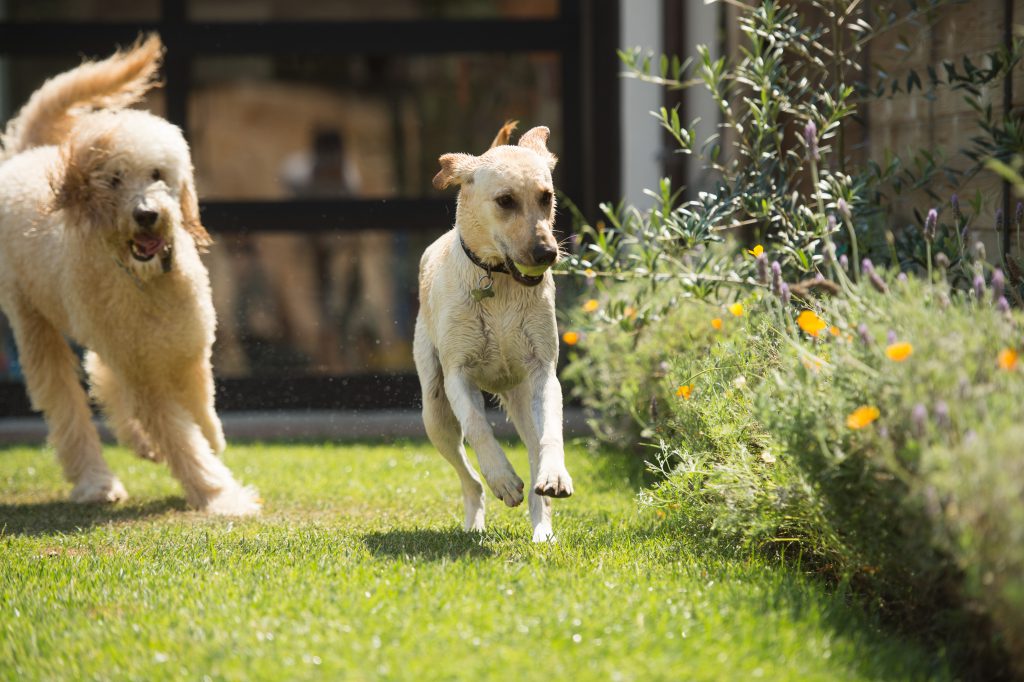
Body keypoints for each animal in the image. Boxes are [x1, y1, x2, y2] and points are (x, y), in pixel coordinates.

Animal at [0, 37, 260, 512]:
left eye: (157, 174)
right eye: (114, 179)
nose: (146, 215)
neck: (147, 285)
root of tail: (27, 156)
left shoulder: (187, 349)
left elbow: (200, 411)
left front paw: (212, 443)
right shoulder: (145, 375)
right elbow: (181, 438)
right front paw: (220, 496)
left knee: (101, 374)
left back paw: (139, 444)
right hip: (34, 322)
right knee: (67, 403)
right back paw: (97, 482)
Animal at [415, 120, 577, 536]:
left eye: (546, 197)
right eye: (505, 201)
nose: (547, 253)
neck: (499, 283)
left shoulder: (543, 372)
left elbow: (552, 432)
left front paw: (555, 476)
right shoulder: (457, 375)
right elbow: (477, 425)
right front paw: (503, 478)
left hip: (521, 397)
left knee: (535, 450)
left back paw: (542, 529)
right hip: (434, 412)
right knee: (469, 478)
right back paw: (475, 520)